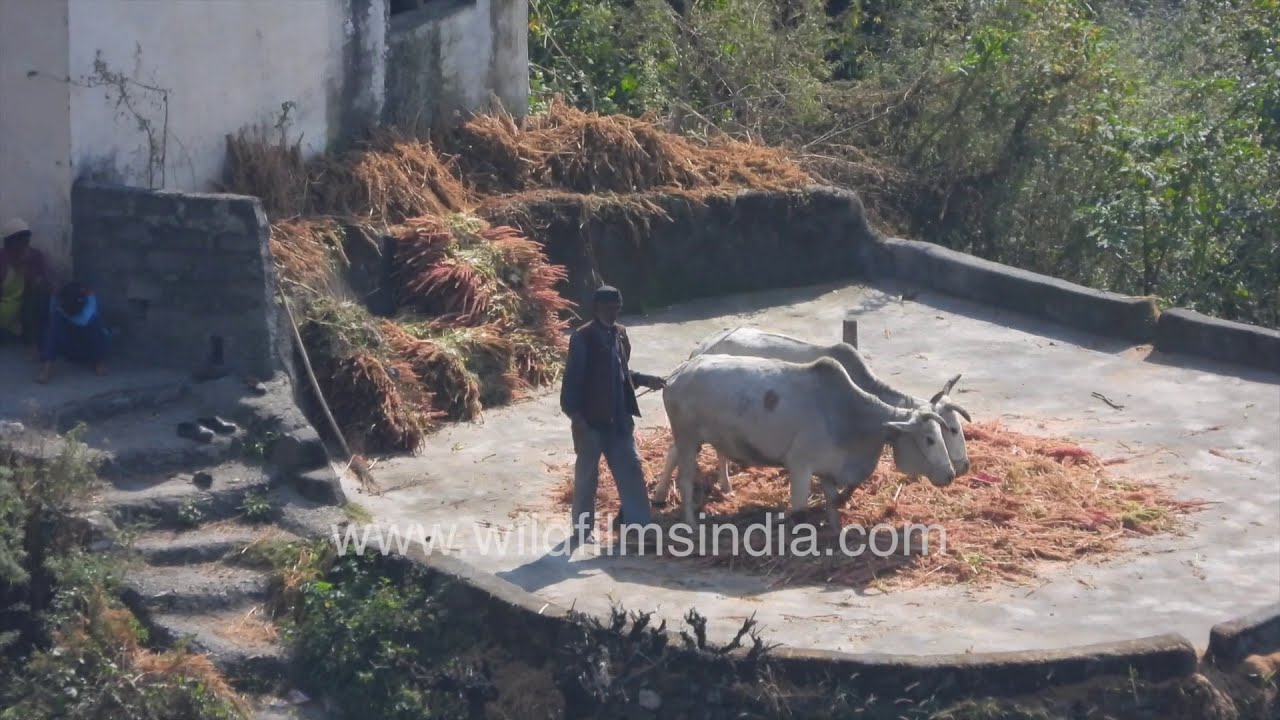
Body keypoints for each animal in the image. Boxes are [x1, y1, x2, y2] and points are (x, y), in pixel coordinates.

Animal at [652, 326, 972, 505]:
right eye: (948, 431)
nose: (962, 468)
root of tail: (701, 347)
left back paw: (724, 486)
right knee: (676, 452)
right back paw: (660, 495)